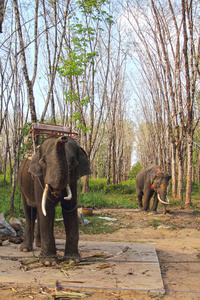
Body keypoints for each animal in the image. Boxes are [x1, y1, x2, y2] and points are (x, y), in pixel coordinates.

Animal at [17, 136, 91, 264]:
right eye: (43, 161)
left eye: (74, 164)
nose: (63, 138)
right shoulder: (38, 178)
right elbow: (47, 207)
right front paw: (48, 262)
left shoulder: (73, 181)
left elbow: (69, 208)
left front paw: (73, 259)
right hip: (22, 186)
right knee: (30, 212)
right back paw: (26, 249)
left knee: (39, 212)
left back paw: (39, 245)